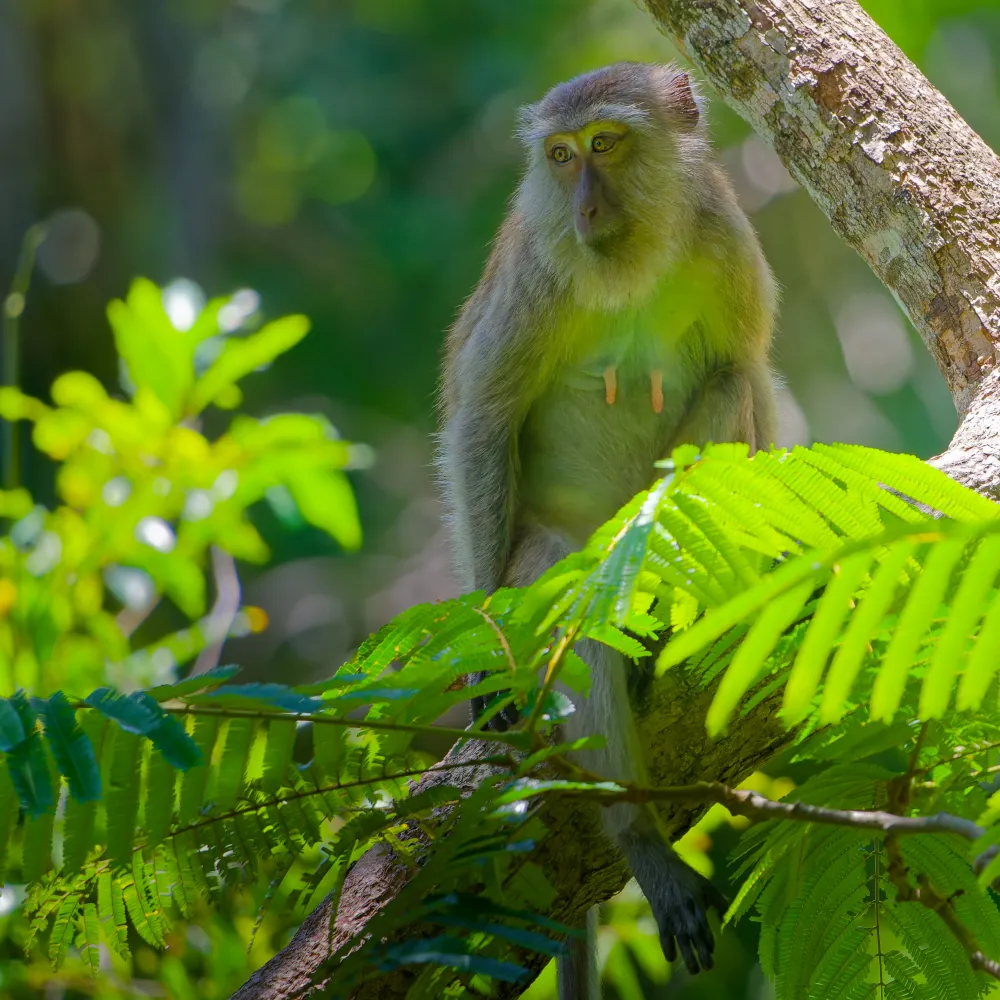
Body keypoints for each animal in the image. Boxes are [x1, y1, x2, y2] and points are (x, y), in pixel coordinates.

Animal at [437, 62, 776, 998]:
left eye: (605, 144)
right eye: (560, 156)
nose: (585, 208)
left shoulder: (725, 237)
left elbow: (745, 370)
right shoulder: (533, 268)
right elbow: (483, 420)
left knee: (727, 389)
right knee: (566, 580)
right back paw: (639, 837)